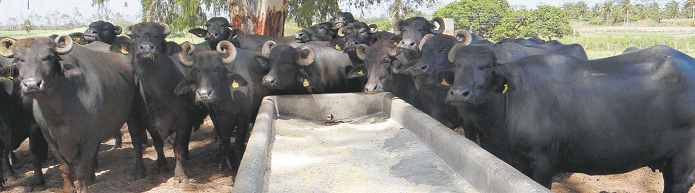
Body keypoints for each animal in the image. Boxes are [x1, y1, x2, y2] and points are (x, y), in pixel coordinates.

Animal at [0, 36, 139, 191]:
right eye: (18, 58)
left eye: (49, 56)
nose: (31, 85)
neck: (59, 112)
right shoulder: (50, 139)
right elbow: (64, 167)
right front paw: (68, 188)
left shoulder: (88, 138)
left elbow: (81, 169)